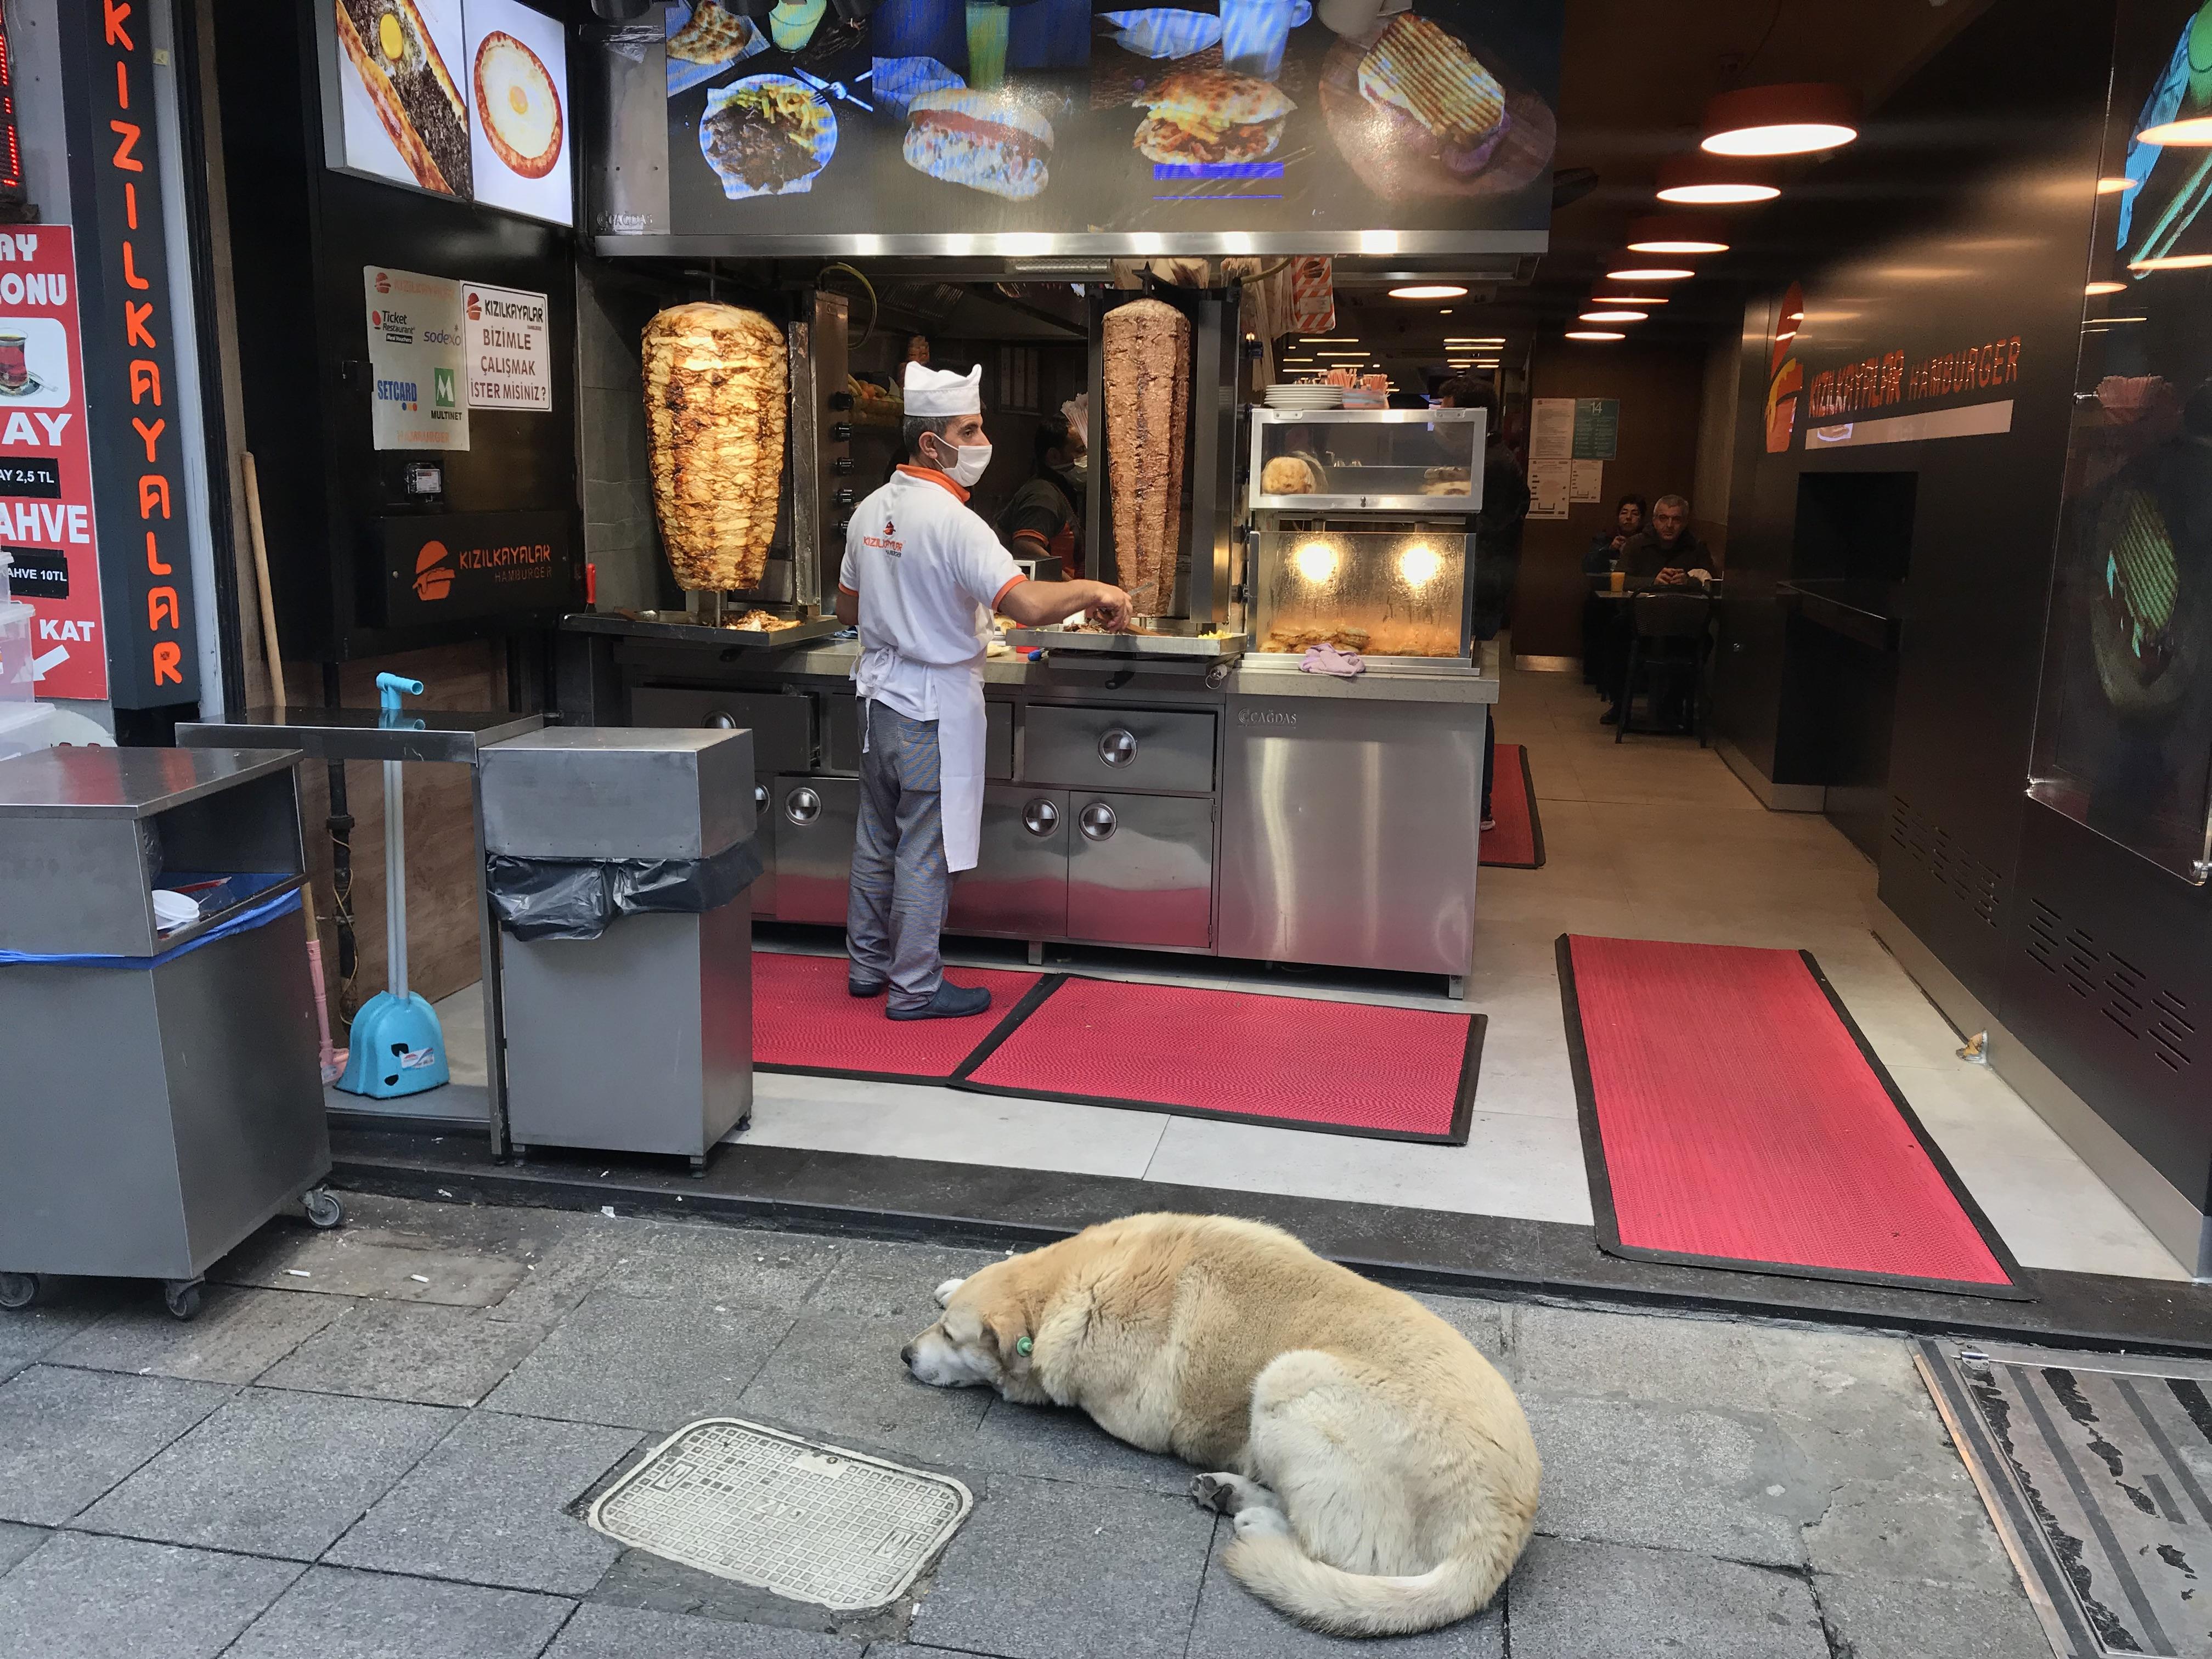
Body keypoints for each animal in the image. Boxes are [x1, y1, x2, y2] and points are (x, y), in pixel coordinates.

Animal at [898, 1212, 1539, 1637]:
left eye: (951, 1338)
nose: (906, 1354)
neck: (1075, 1282)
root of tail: (1503, 1526)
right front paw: (953, 1283)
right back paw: (1230, 1492)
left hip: (1290, 1380)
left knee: (1339, 1550)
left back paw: (1255, 1516)